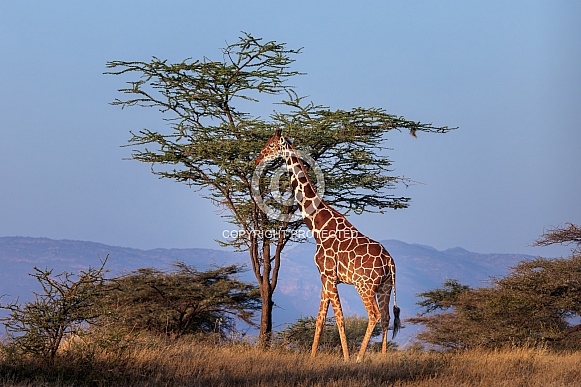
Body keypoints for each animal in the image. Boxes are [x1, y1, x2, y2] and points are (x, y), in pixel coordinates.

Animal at [256, 130, 402, 364]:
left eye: (271, 145)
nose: (258, 159)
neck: (318, 226)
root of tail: (390, 261)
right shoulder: (325, 278)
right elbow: (320, 318)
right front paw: (312, 356)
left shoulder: (329, 276)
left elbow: (339, 317)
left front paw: (346, 357)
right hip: (385, 287)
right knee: (387, 317)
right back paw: (383, 357)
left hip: (364, 286)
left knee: (374, 315)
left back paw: (359, 357)